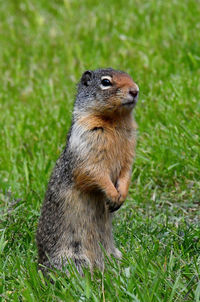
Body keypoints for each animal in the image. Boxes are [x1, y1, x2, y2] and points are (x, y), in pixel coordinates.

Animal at [36, 67, 139, 274]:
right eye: (106, 82)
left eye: (130, 76)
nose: (135, 90)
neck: (115, 121)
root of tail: (40, 266)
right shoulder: (87, 146)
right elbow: (95, 173)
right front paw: (112, 196)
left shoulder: (128, 153)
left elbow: (126, 173)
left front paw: (121, 196)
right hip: (73, 257)